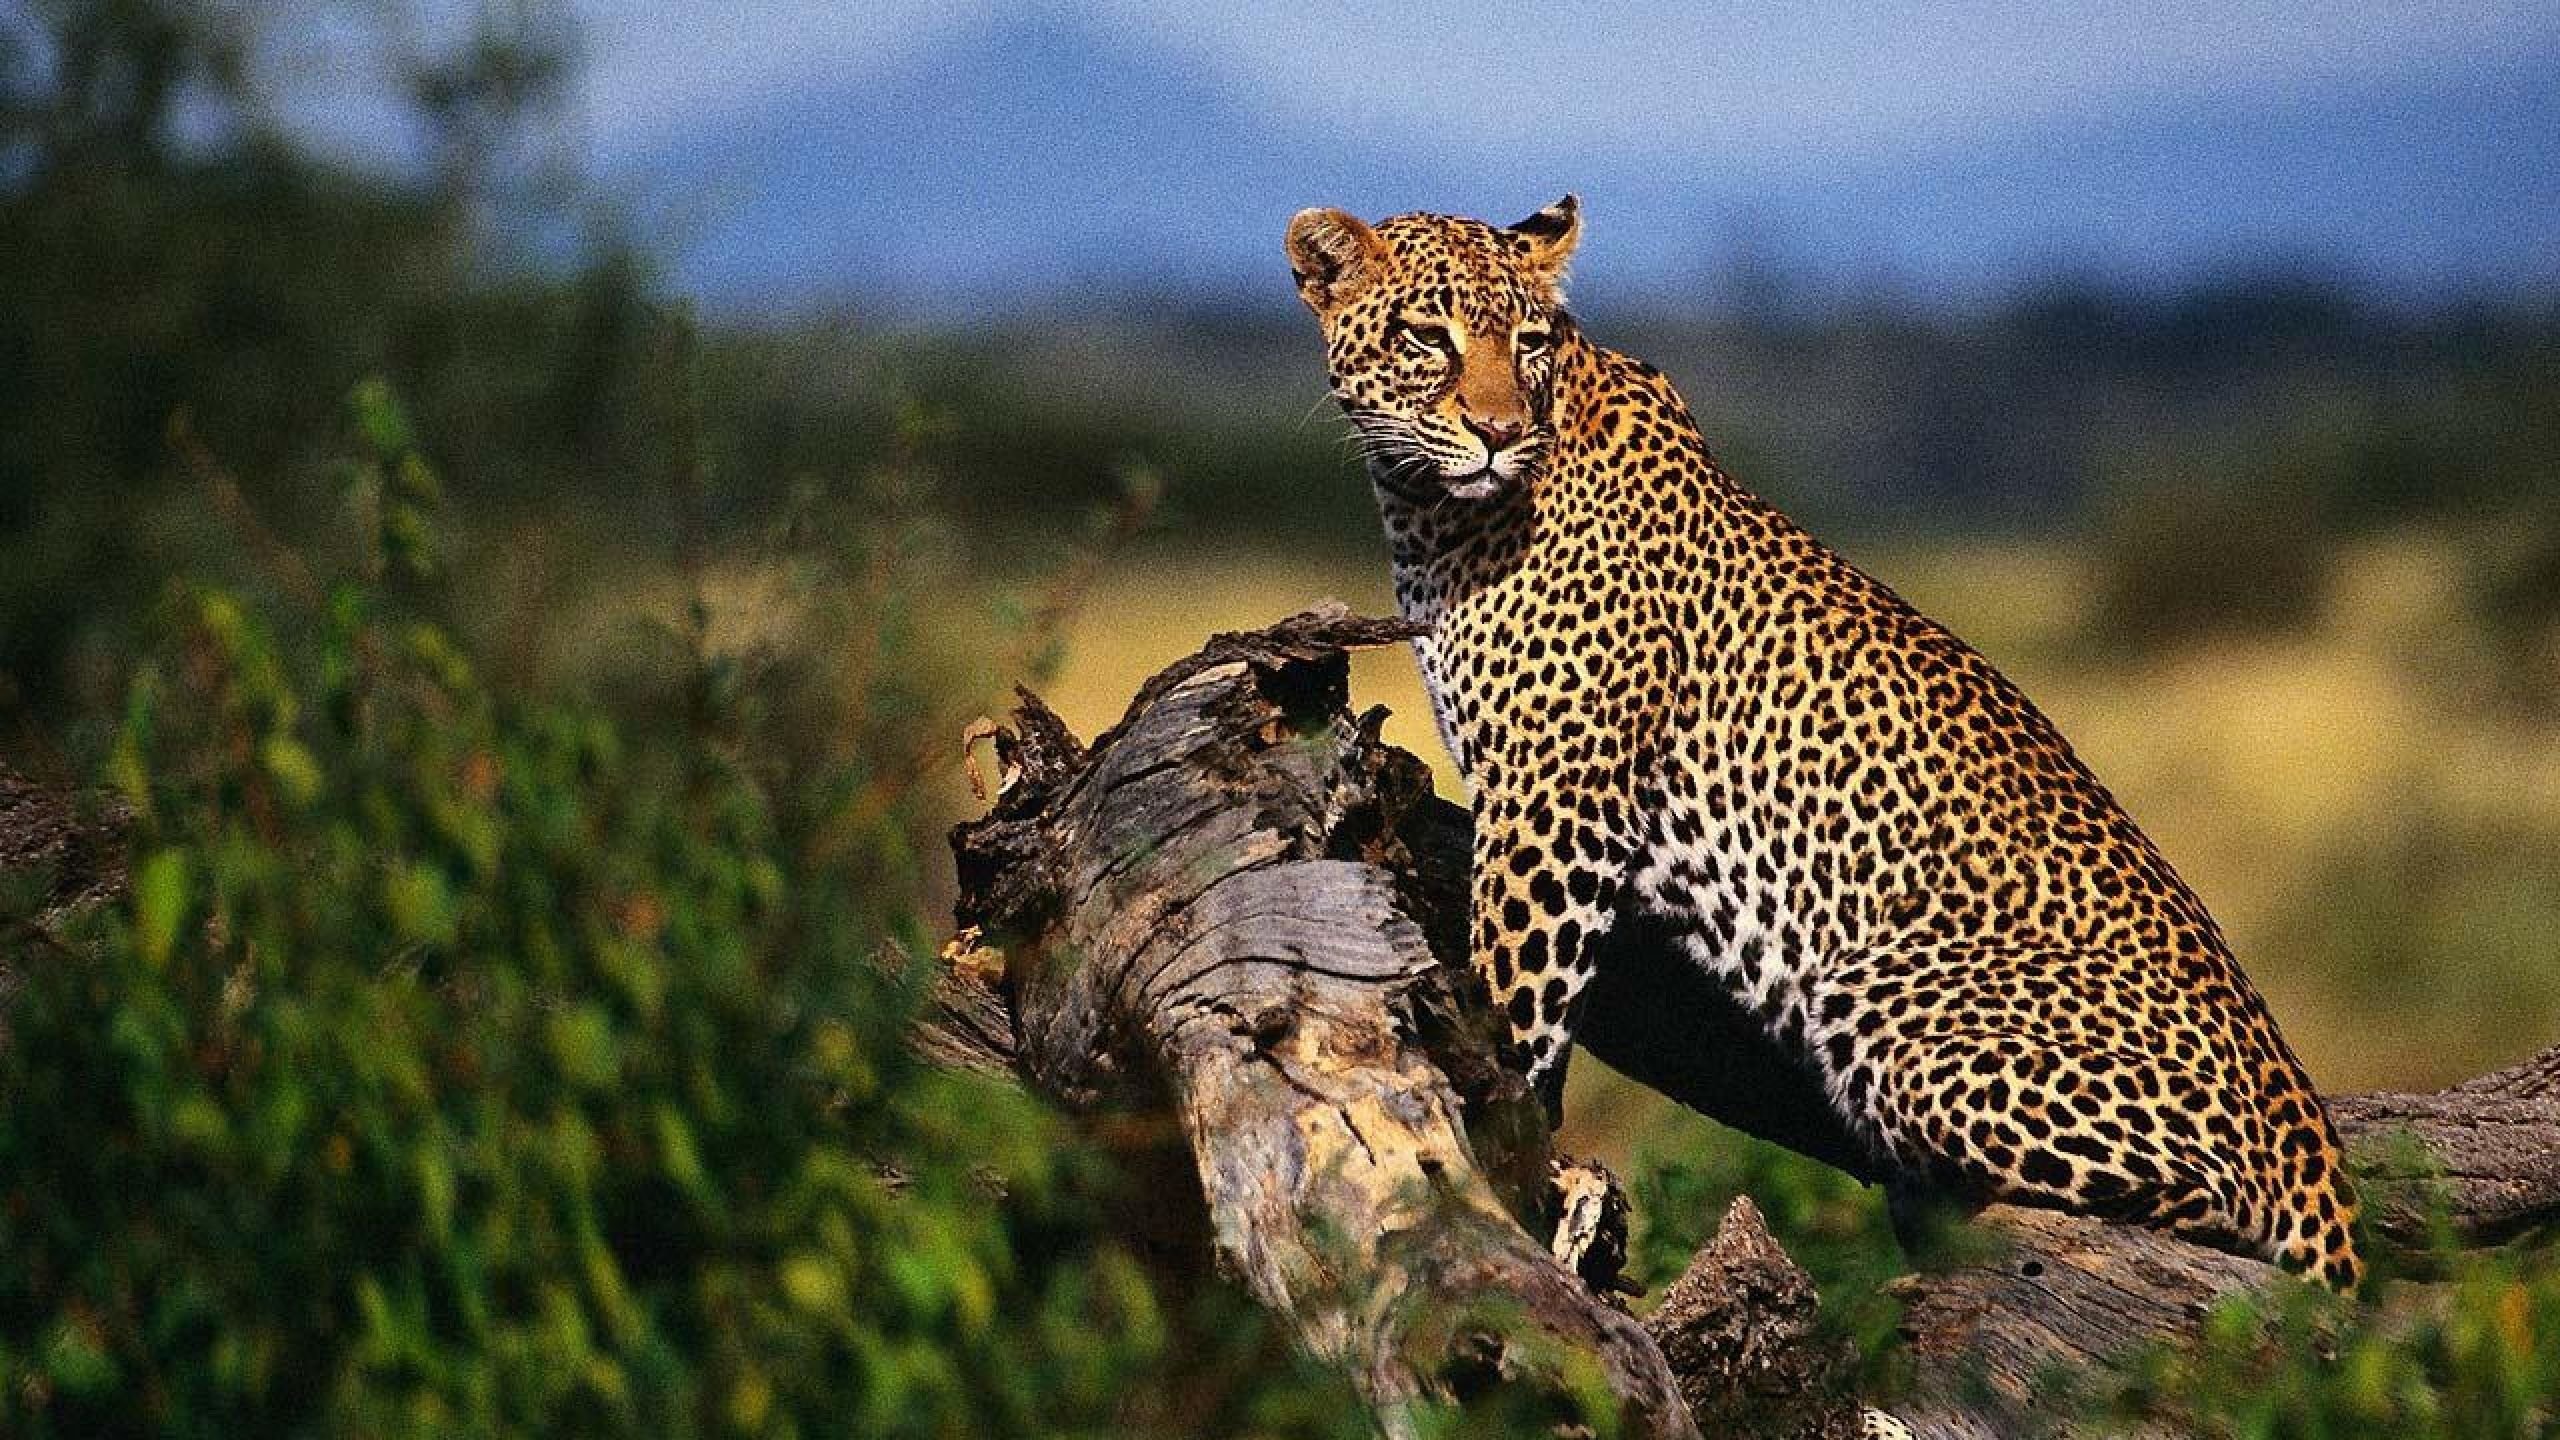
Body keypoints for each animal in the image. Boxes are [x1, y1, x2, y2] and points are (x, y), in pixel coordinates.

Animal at [1283, 194, 2362, 1290]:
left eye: (1530, 342)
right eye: (1429, 336)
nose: (1500, 434)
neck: (1427, 515)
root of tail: (2311, 1137)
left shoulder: (1556, 803)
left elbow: (1518, 1005)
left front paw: (1512, 1163)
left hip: (1884, 999)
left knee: (2209, 1201)